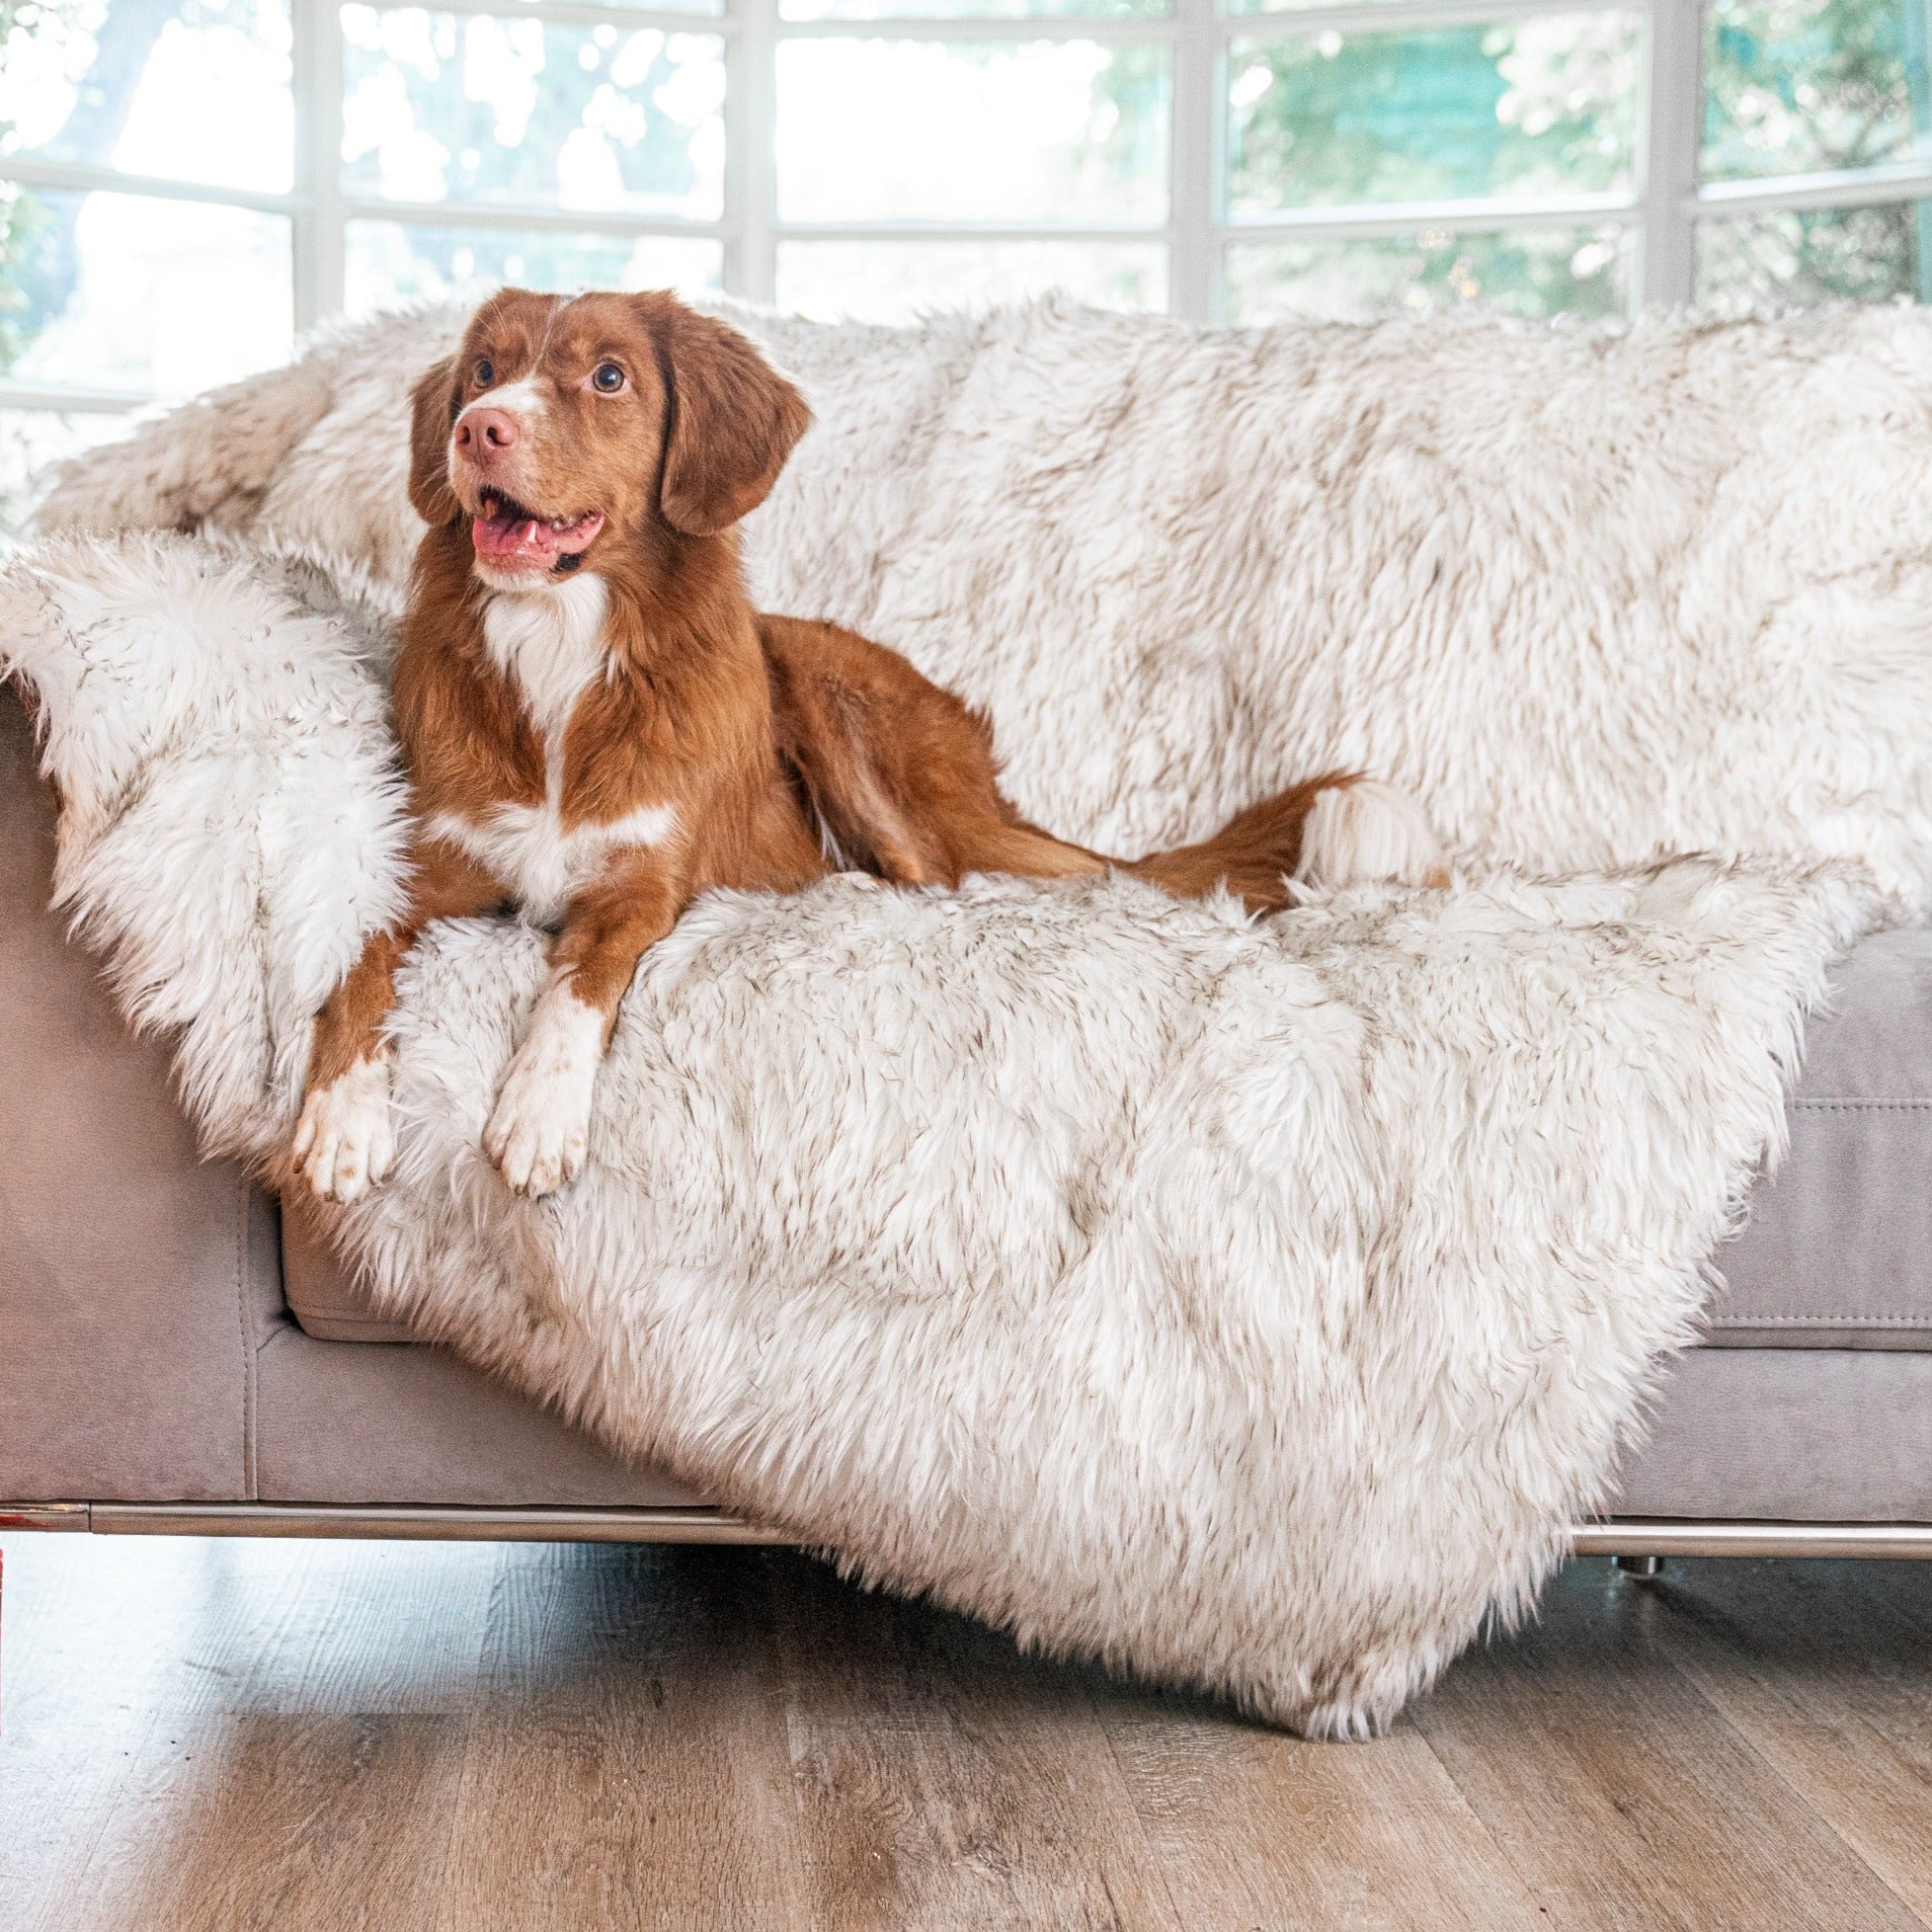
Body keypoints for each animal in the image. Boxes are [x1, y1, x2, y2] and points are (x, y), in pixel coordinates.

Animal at [293, 285, 1445, 1197]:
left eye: (608, 377)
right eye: (484, 371)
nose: (477, 428)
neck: (560, 653)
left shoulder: (644, 889)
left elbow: (578, 984)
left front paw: (539, 1110)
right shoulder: (424, 867)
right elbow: (355, 957)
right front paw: (342, 1117)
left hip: (830, 701)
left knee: (941, 882)